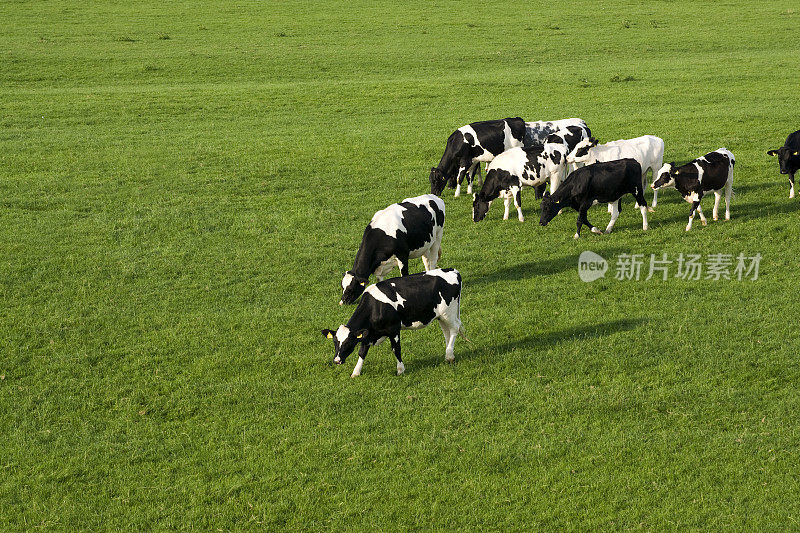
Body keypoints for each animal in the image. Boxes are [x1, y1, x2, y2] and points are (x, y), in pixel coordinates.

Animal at [324, 268, 466, 376]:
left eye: (348, 342)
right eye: (335, 342)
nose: (337, 360)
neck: (375, 307)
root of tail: (453, 270)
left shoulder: (394, 329)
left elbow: (396, 349)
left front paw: (400, 370)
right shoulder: (367, 333)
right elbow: (362, 352)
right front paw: (356, 372)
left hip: (449, 312)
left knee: (454, 328)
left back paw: (449, 355)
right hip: (441, 316)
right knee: (447, 332)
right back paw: (448, 353)